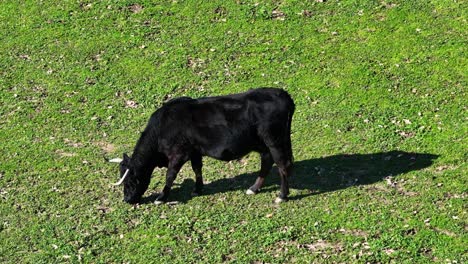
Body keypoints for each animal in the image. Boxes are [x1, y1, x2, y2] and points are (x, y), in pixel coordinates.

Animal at [114, 88, 294, 204]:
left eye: (131, 181)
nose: (127, 200)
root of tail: (283, 94)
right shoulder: (194, 151)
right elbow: (197, 169)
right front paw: (197, 189)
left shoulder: (178, 153)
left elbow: (170, 175)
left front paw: (162, 197)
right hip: (264, 143)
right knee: (267, 162)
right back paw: (254, 188)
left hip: (275, 140)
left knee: (283, 165)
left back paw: (282, 196)